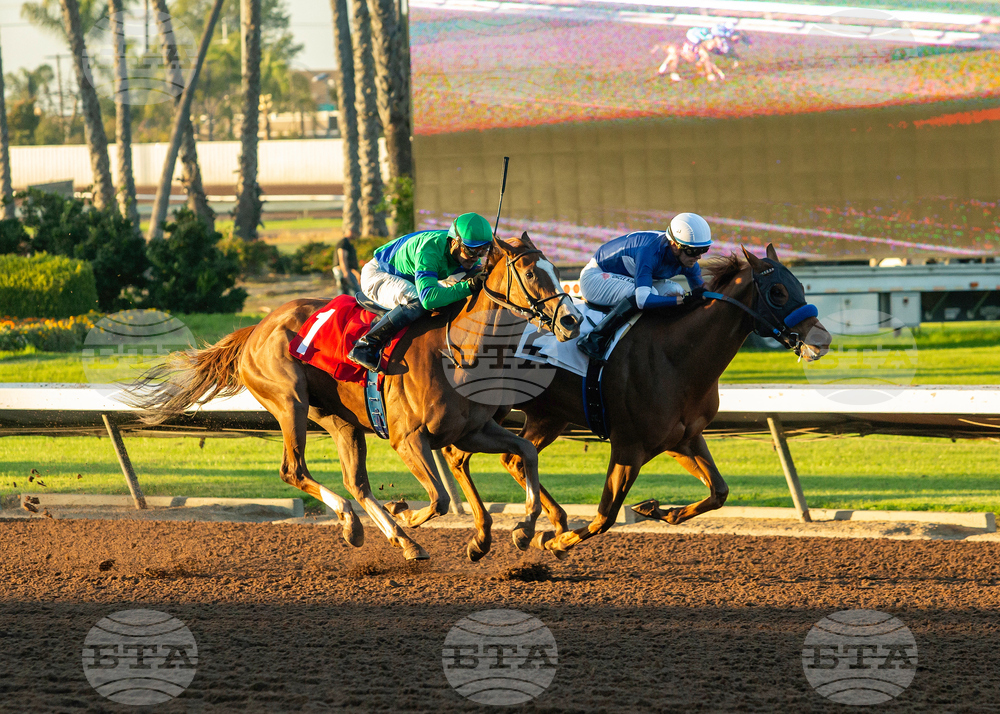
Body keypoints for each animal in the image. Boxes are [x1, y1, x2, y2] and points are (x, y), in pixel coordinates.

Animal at [125, 233, 582, 561]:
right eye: (531, 273)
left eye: (554, 269)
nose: (572, 320)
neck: (460, 352)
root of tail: (256, 327)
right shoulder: (408, 438)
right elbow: (436, 497)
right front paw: (409, 513)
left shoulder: (473, 430)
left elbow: (524, 451)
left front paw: (524, 531)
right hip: (290, 401)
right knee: (293, 470)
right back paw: (358, 523)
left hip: (339, 418)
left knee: (355, 481)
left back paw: (391, 537)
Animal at [438, 245, 832, 559]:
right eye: (777, 291)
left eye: (800, 286)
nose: (823, 340)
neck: (675, 355)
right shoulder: (630, 445)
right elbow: (605, 516)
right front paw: (555, 542)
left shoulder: (682, 439)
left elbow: (719, 492)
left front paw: (657, 509)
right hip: (491, 409)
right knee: (458, 454)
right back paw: (487, 536)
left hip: (548, 416)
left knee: (513, 458)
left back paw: (543, 523)